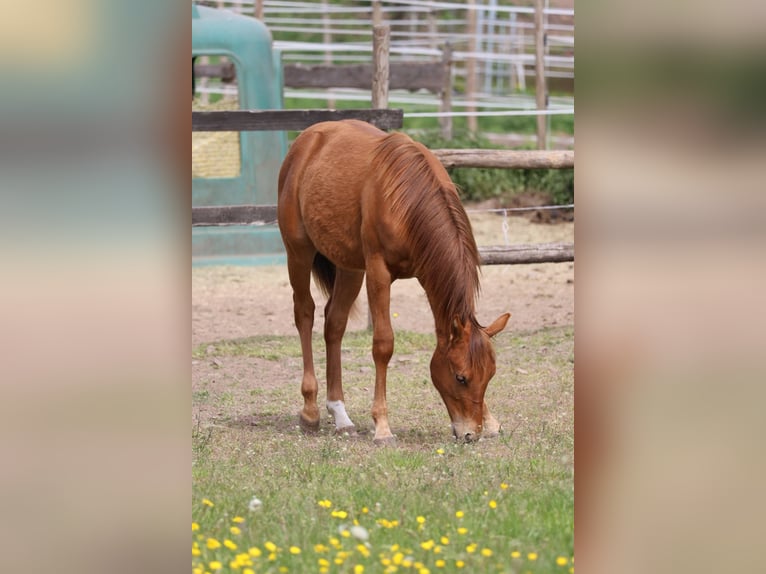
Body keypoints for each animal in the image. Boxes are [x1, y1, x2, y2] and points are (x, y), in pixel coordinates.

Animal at [277, 120, 510, 443]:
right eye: (460, 377)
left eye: (490, 374)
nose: (469, 434)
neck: (407, 201)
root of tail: (306, 141)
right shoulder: (378, 272)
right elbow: (383, 344)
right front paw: (382, 426)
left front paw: (489, 421)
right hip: (298, 253)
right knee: (304, 314)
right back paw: (310, 411)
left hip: (350, 268)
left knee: (334, 323)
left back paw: (340, 414)